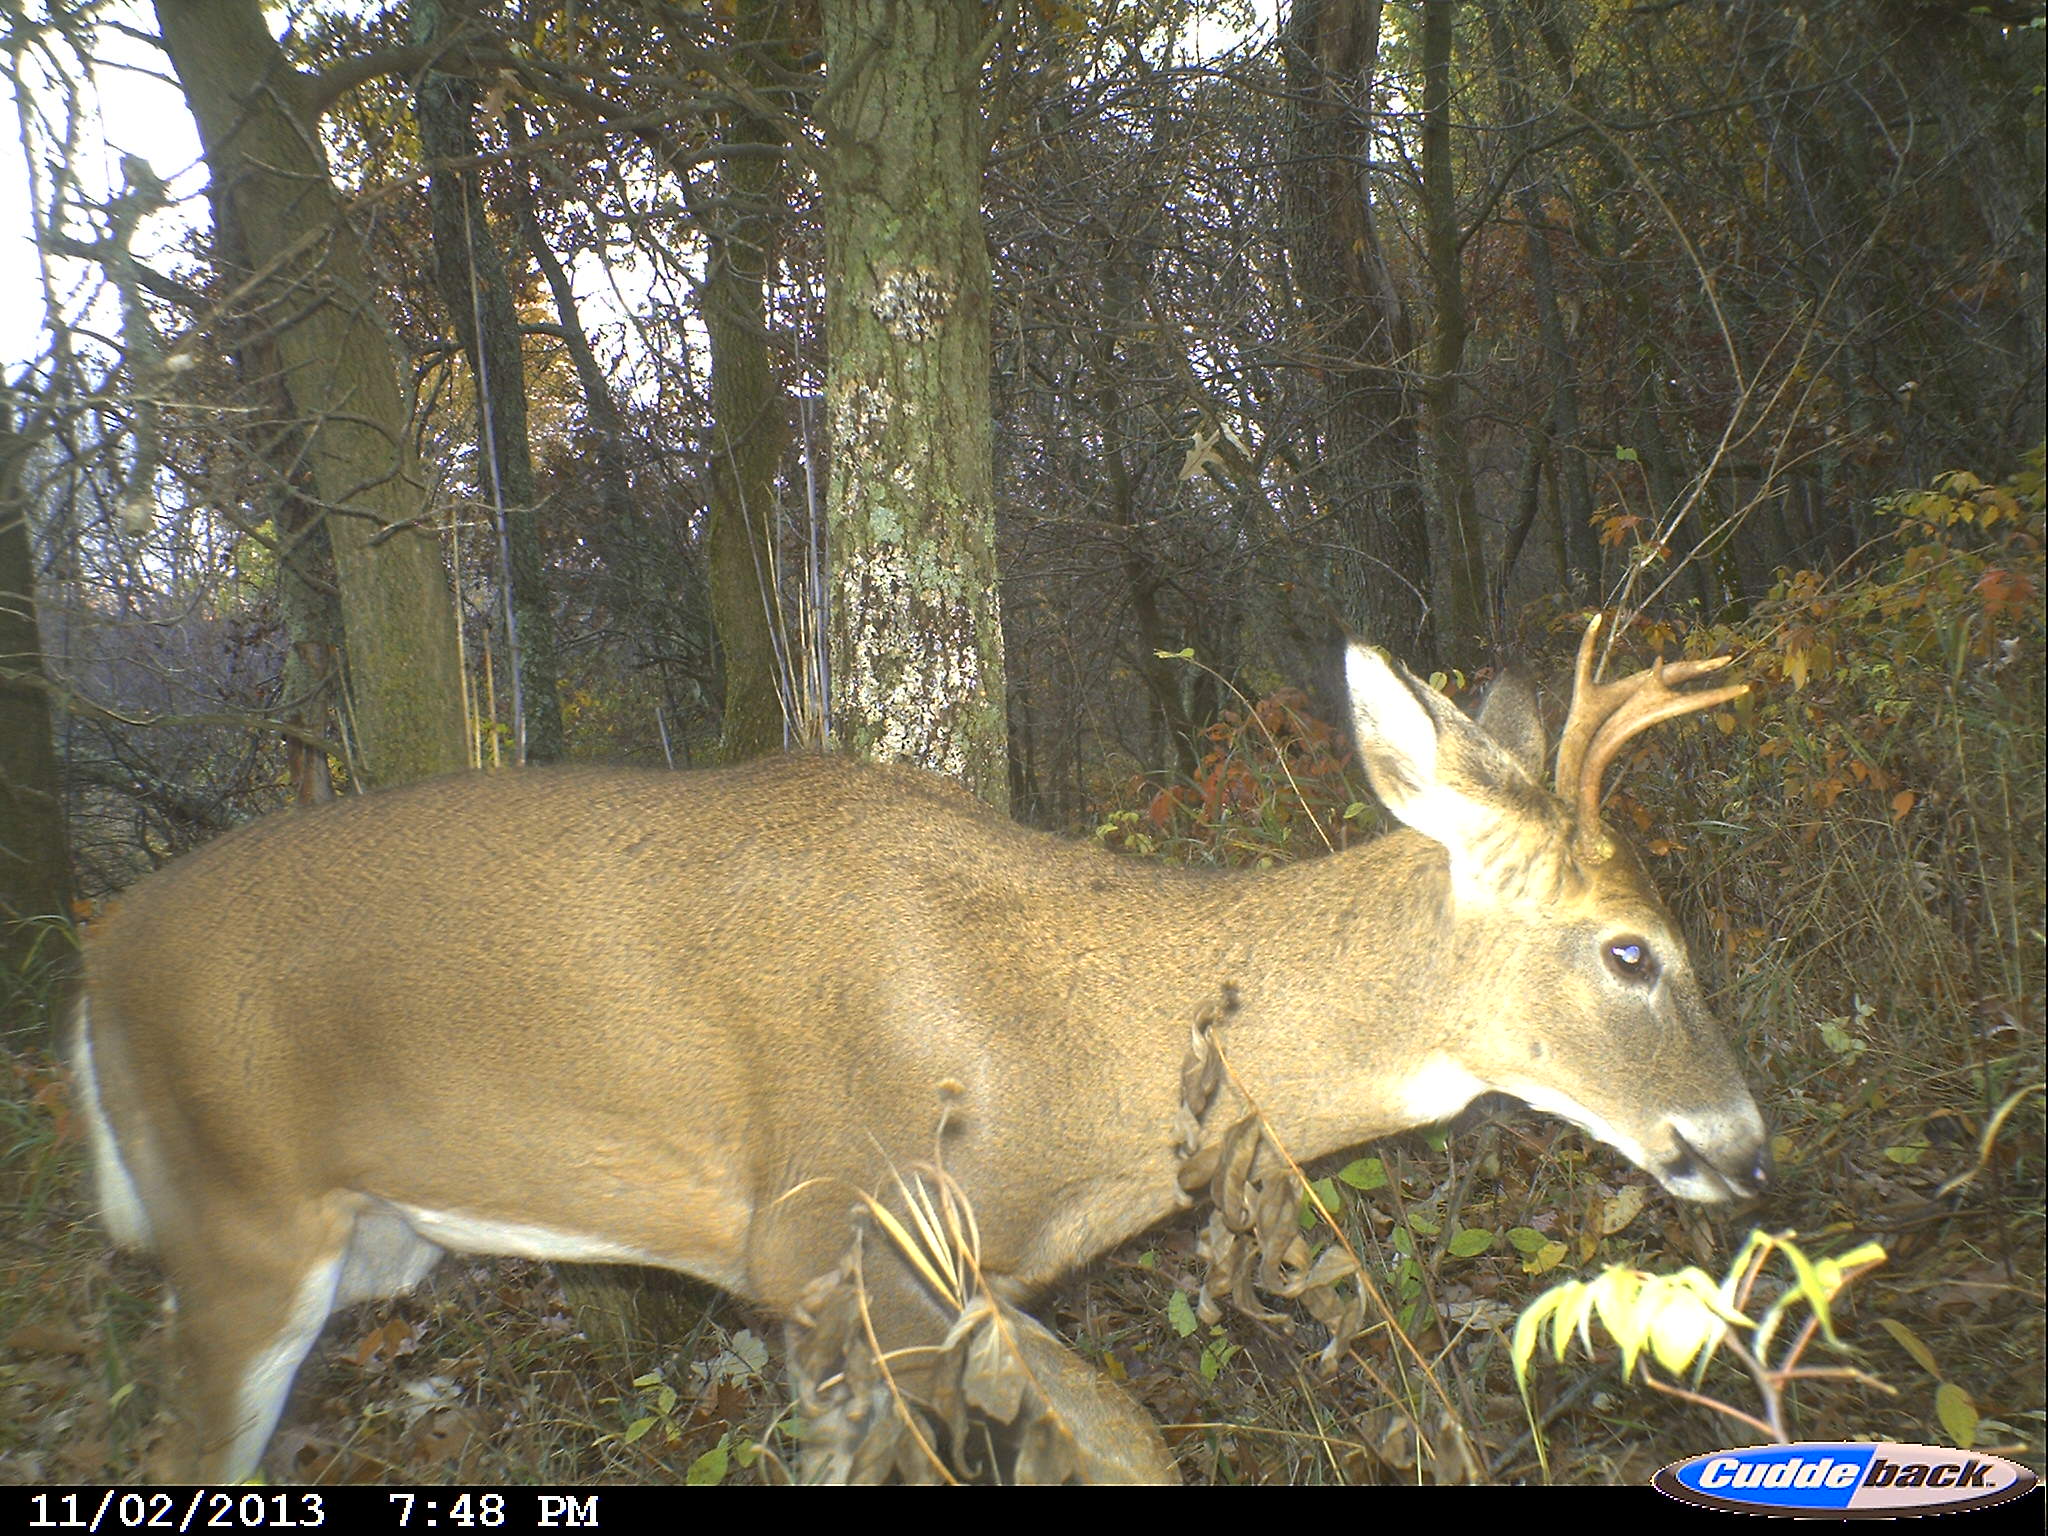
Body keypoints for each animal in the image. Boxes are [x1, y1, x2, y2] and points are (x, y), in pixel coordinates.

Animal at [72, 618, 1769, 1482]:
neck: (1060, 1058)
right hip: (237, 1225)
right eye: (1632, 951)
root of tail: (94, 966)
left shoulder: (972, 1278)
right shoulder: (832, 1236)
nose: (1748, 1146)